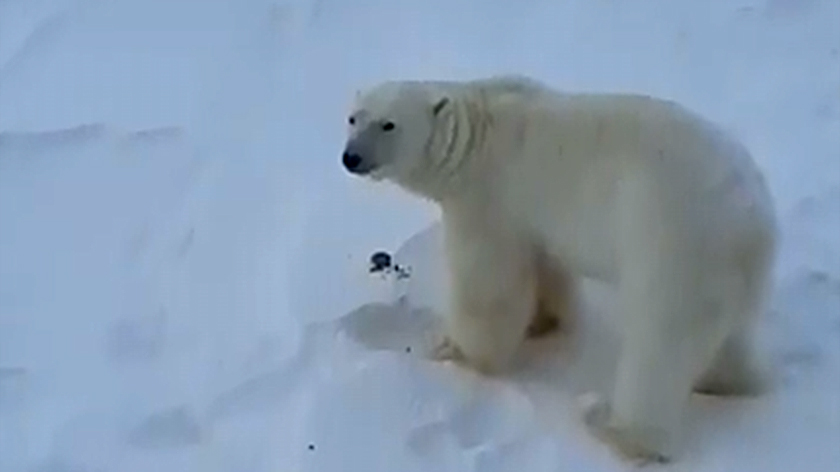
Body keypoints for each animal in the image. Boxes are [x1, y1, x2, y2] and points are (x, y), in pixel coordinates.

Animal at [338, 75, 776, 462]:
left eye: (388, 124)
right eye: (354, 117)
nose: (351, 157)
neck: (474, 138)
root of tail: (752, 219)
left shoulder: (488, 199)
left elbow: (488, 284)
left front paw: (454, 350)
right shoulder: (532, 217)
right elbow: (545, 266)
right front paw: (542, 322)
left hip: (674, 242)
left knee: (660, 344)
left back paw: (616, 429)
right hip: (725, 272)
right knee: (727, 335)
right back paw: (725, 381)